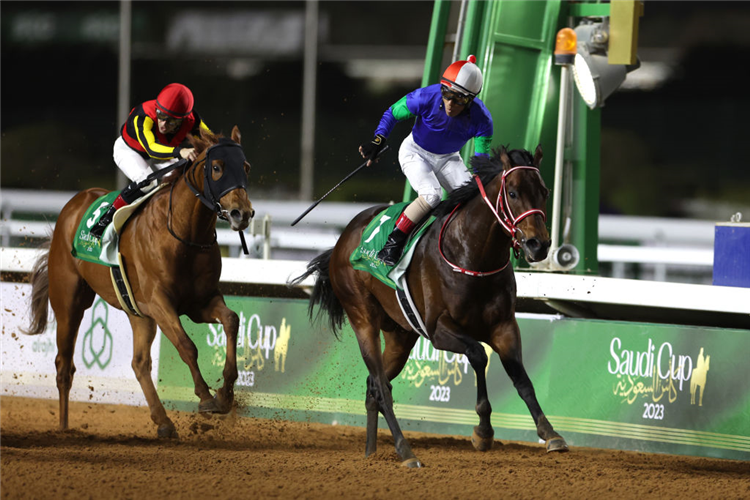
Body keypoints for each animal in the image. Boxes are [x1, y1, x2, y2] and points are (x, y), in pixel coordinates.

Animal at [22, 126, 256, 438]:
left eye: (246, 167)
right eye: (217, 168)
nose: (242, 214)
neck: (184, 234)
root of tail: (73, 204)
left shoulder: (200, 302)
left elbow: (231, 320)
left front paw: (225, 394)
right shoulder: (160, 302)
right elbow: (187, 346)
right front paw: (206, 397)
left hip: (137, 312)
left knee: (139, 363)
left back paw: (163, 421)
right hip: (69, 302)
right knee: (64, 366)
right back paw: (63, 428)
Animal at [294, 146, 568, 466]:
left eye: (544, 192)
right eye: (512, 193)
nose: (539, 245)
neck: (471, 253)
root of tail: (343, 238)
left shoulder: (504, 326)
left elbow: (521, 378)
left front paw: (550, 433)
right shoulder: (439, 330)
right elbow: (478, 355)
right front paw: (483, 431)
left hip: (400, 336)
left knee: (373, 387)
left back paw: (371, 453)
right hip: (362, 318)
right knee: (382, 387)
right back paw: (405, 450)